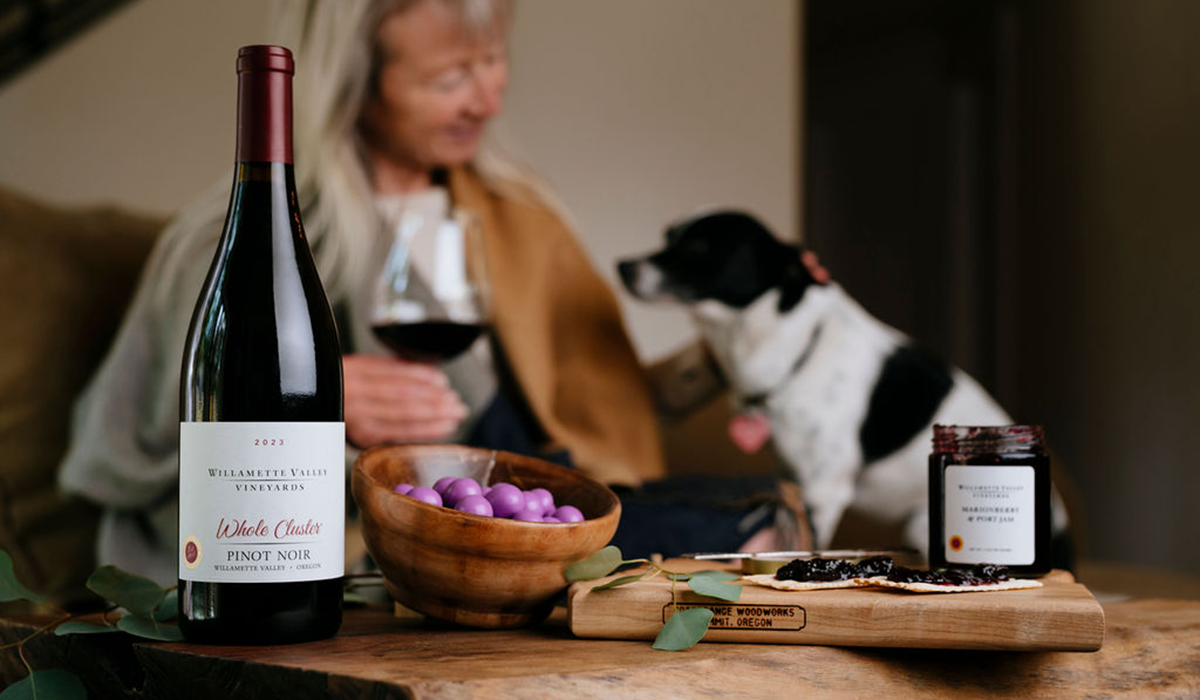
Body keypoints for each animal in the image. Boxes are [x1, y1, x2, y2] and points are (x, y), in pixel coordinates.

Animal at [619, 212, 1070, 559]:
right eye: (668, 236)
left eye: (698, 248)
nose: (623, 265)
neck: (792, 345)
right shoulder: (794, 481)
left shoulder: (823, 490)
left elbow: (809, 542)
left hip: (922, 523)